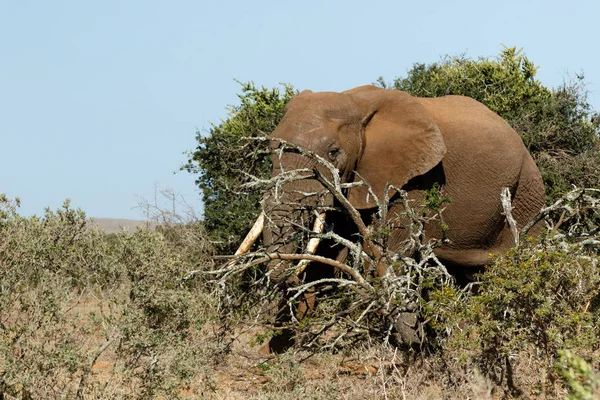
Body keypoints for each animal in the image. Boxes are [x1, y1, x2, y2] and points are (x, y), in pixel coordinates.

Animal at [237, 83, 548, 350]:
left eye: (333, 152)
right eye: (270, 152)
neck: (354, 104)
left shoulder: (416, 177)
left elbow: (389, 247)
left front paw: (407, 339)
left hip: (527, 190)